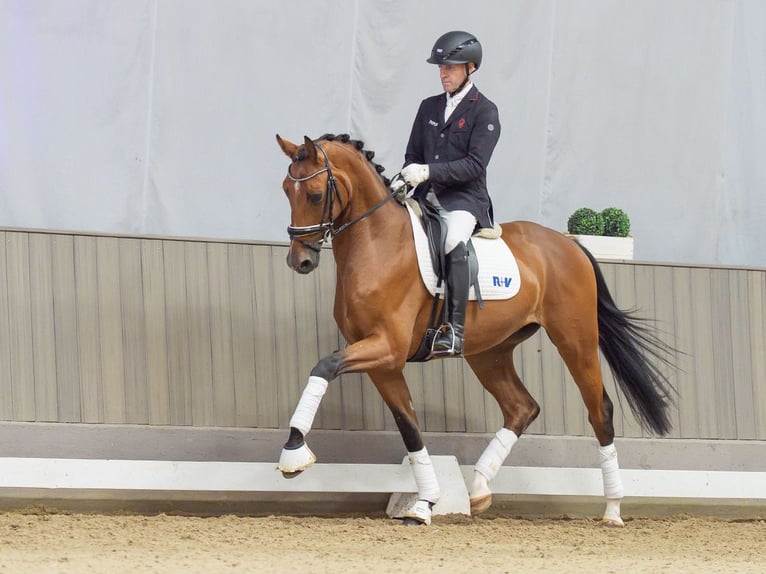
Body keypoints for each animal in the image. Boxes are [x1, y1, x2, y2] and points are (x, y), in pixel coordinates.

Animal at [274, 133, 675, 526]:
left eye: (314, 195)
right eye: (286, 190)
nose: (299, 261)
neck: (379, 244)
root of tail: (568, 244)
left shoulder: (386, 347)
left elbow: (325, 366)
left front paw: (294, 451)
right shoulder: (382, 362)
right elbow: (409, 427)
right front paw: (424, 504)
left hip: (575, 340)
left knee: (599, 410)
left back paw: (613, 509)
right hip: (489, 352)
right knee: (522, 407)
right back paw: (480, 487)